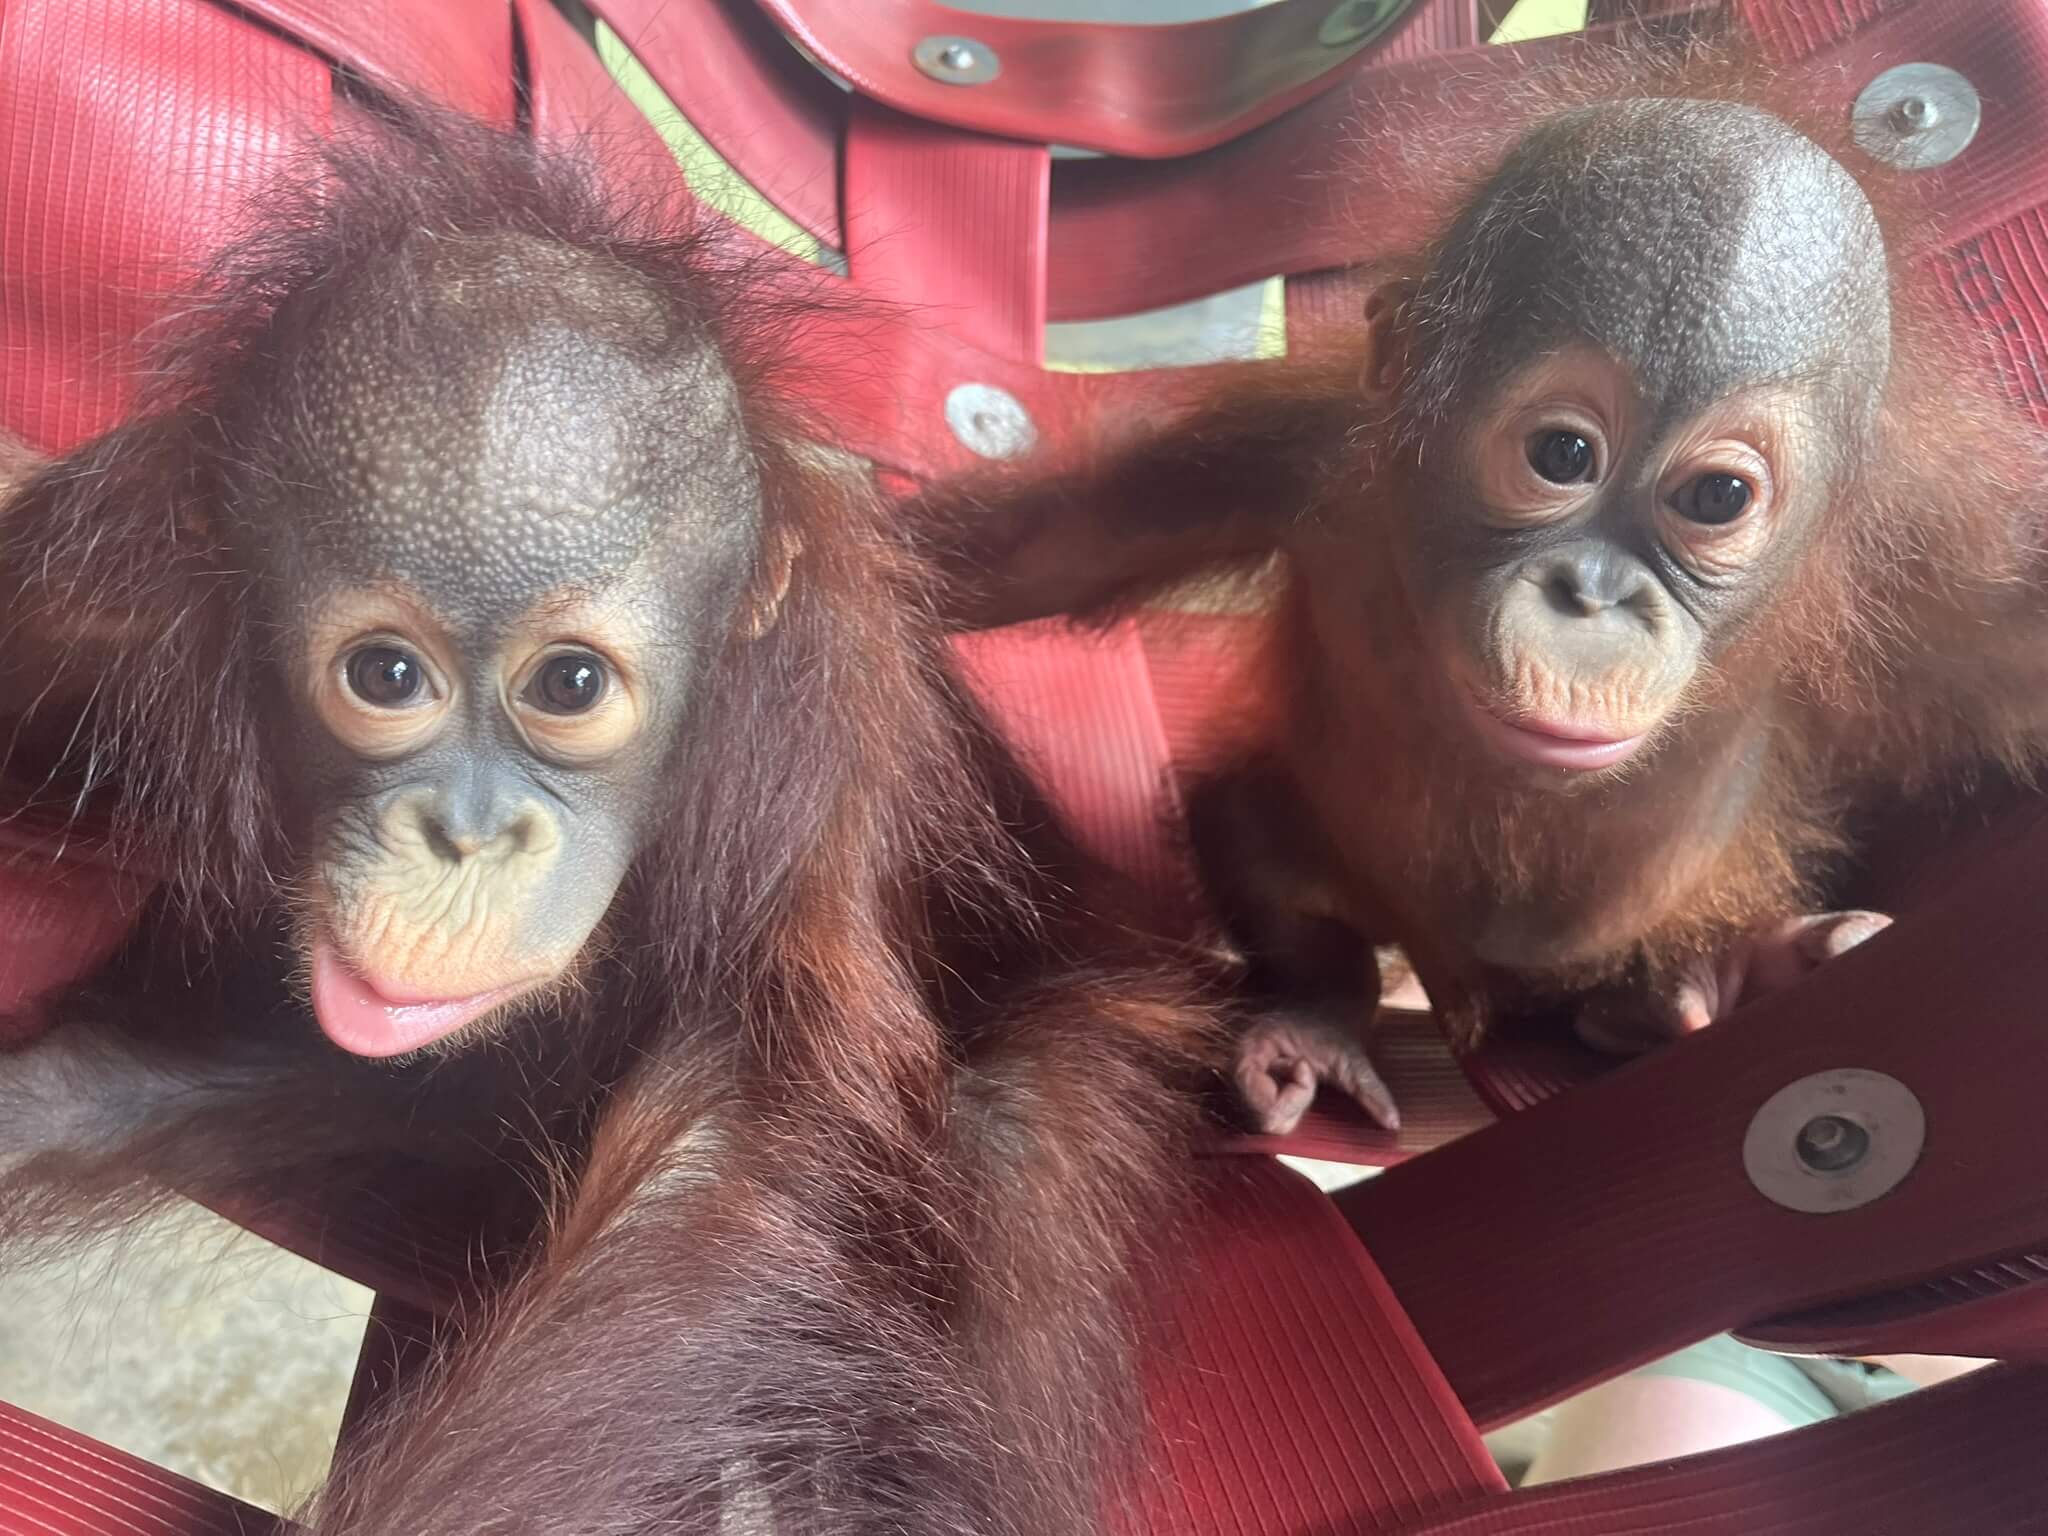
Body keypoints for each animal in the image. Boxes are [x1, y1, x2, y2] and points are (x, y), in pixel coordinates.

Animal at [0, 105, 1215, 1534]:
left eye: (569, 686)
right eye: (384, 676)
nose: (465, 837)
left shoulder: (816, 810)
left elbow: (724, 1178)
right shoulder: (100, 603)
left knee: (1015, 1143)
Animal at [910, 44, 2048, 1137]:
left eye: (1717, 496)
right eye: (1561, 455)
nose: (1591, 595)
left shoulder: (1916, 568)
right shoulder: (1297, 455)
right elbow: (1056, 546)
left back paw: (1720, 973)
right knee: (1251, 824)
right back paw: (1316, 1021)